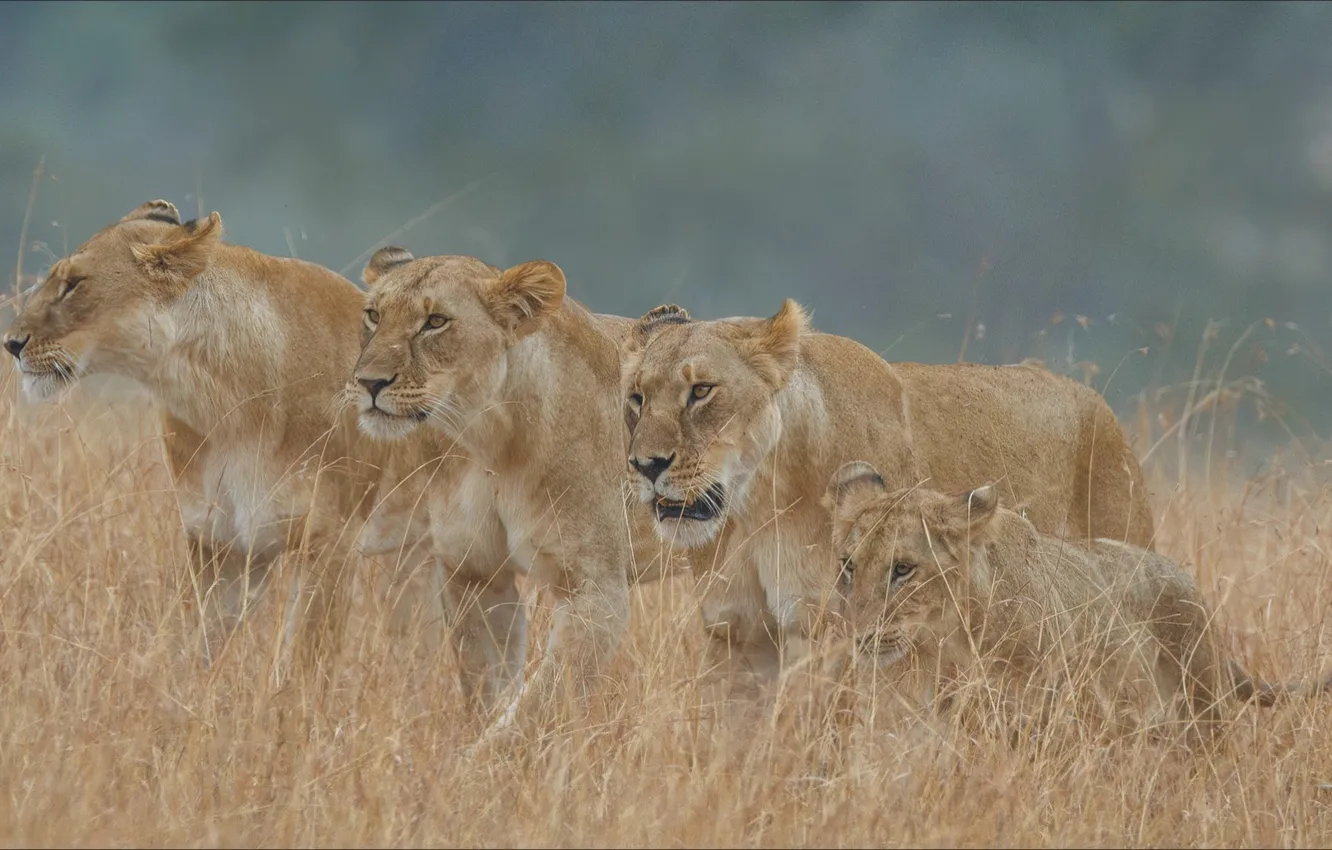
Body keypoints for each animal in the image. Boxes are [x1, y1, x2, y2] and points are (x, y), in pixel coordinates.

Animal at [1, 200, 452, 683]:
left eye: (74, 284)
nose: (10, 344)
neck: (221, 403)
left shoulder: (330, 540)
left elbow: (304, 664)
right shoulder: (219, 543)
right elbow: (193, 646)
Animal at [347, 246, 682, 744]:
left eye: (435, 322)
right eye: (373, 315)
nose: (369, 383)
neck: (492, 439)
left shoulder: (597, 593)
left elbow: (538, 705)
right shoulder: (476, 575)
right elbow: (490, 687)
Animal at [619, 300, 1157, 700]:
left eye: (702, 391)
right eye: (637, 399)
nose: (646, 465)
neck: (757, 505)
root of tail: (1102, 406)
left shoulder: (838, 631)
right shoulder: (735, 632)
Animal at [822, 461, 1332, 741]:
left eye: (903, 569)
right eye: (848, 565)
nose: (855, 635)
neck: (948, 641)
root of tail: (1194, 591)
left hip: (1199, 711)